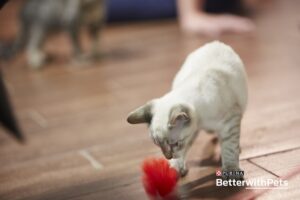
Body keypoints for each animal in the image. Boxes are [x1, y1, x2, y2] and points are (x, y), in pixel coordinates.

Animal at [127, 40, 247, 177]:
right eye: (159, 146)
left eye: (175, 144)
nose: (168, 157)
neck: (202, 121)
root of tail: (215, 42)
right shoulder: (192, 132)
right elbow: (183, 152)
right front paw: (175, 167)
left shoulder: (230, 122)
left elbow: (229, 148)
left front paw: (231, 170)